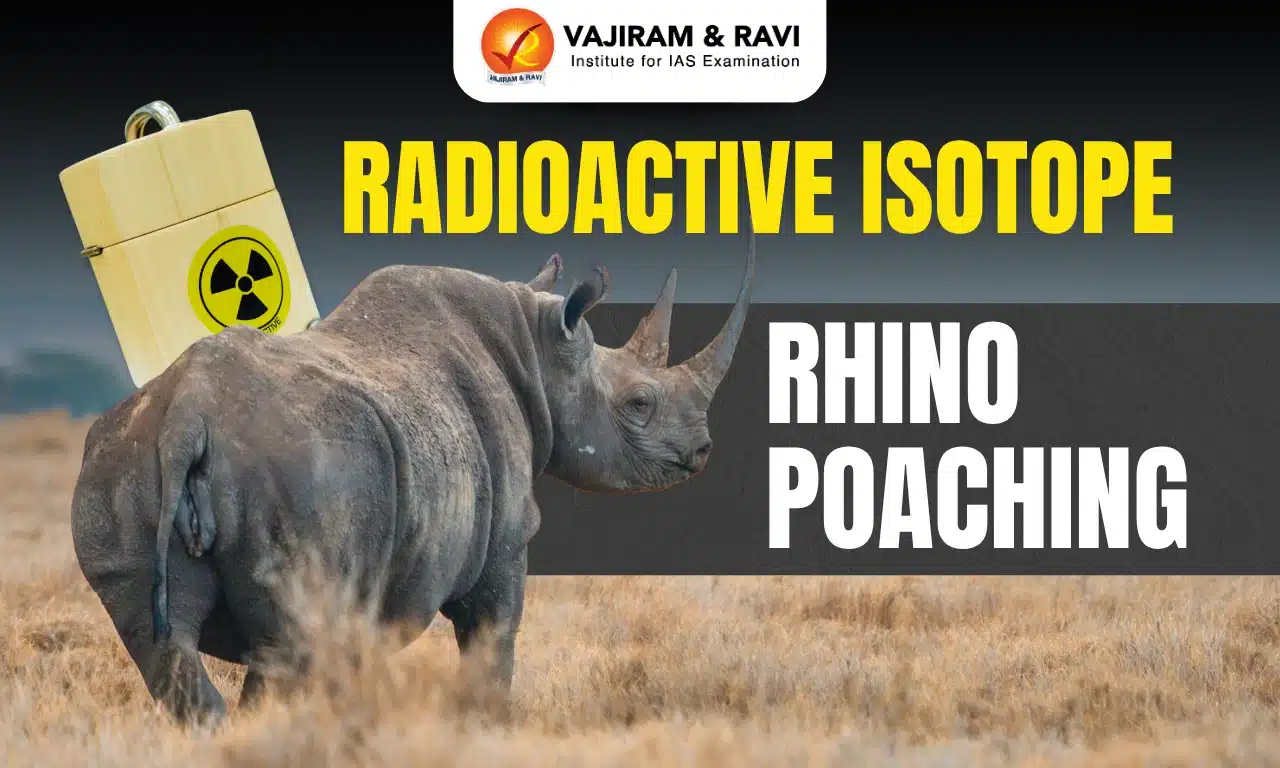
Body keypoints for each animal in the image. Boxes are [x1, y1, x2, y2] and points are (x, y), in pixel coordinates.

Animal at [70, 230, 755, 726]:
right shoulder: (505, 537)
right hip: (301, 473)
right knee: (293, 643)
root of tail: (185, 415)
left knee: (164, 644)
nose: (702, 449)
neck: (537, 350)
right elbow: (493, 637)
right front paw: (485, 726)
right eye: (639, 403)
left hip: (119, 464)